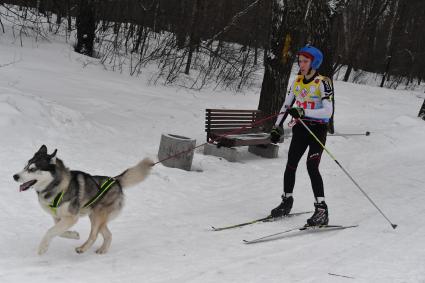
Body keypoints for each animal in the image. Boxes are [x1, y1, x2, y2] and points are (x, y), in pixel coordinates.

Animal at [12, 146, 152, 255]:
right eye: (25, 166)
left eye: (32, 169)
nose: (15, 176)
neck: (57, 186)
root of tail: (115, 181)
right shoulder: (58, 218)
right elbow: (59, 232)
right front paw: (74, 234)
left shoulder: (72, 217)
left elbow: (50, 231)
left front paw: (42, 248)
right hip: (96, 216)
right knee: (108, 234)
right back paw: (102, 250)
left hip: (97, 215)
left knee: (94, 235)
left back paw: (82, 248)